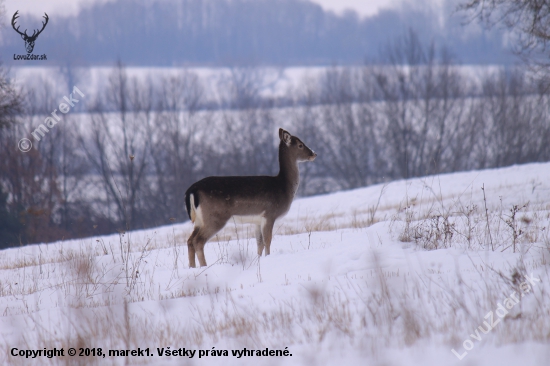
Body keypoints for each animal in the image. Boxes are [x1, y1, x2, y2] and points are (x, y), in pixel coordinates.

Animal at [184, 128, 316, 266]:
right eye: (300, 145)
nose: (314, 154)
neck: (283, 186)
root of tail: (191, 190)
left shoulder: (257, 220)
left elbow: (259, 243)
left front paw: (258, 260)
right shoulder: (270, 214)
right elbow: (268, 240)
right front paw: (268, 257)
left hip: (200, 219)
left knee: (189, 240)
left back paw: (192, 267)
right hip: (215, 217)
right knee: (198, 241)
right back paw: (204, 266)